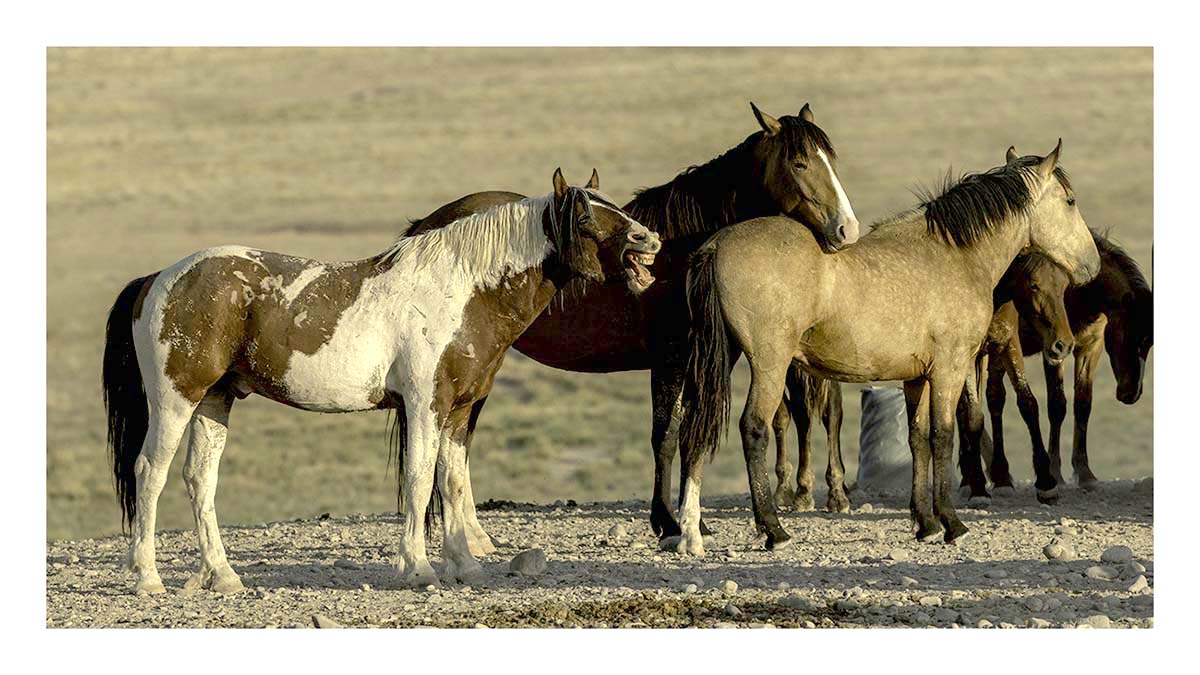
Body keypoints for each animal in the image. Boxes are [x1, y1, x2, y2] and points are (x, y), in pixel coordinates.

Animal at [101, 170, 661, 594]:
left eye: (614, 205)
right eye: (584, 216)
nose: (649, 240)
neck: (461, 291)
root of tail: (158, 279)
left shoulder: (459, 410)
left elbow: (452, 482)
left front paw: (466, 563)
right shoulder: (425, 404)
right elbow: (418, 480)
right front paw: (418, 567)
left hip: (216, 401)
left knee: (201, 479)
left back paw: (222, 575)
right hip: (176, 400)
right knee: (150, 473)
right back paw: (148, 578)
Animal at [405, 103, 860, 545]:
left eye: (832, 160)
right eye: (800, 162)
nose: (846, 229)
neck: (681, 251)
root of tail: (425, 227)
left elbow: (689, 435)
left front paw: (692, 525)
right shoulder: (671, 361)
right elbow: (667, 436)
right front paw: (668, 523)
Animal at [677, 142, 1100, 555]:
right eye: (1070, 200)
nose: (1092, 266)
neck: (955, 255)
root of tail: (716, 245)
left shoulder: (917, 379)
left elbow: (918, 439)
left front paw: (926, 524)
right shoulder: (949, 370)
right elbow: (944, 436)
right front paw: (952, 523)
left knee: (696, 429)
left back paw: (689, 532)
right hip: (770, 364)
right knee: (753, 428)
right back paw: (772, 529)